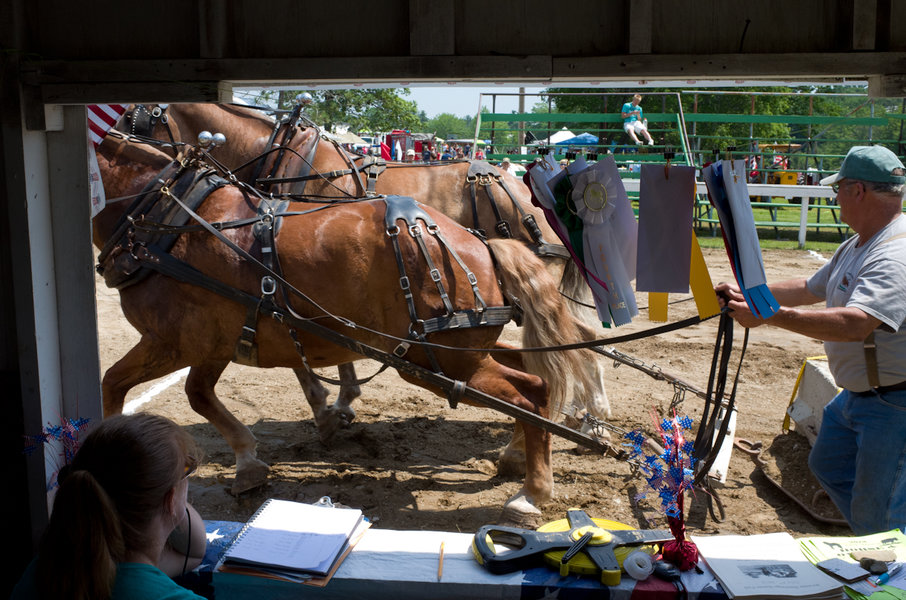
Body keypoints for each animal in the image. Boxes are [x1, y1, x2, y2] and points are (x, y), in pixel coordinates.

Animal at [93, 133, 601, 526]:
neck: (173, 223)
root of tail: (479, 243)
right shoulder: (214, 342)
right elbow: (198, 395)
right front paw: (252, 461)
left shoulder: (171, 341)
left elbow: (114, 384)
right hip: (461, 353)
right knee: (536, 377)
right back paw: (521, 459)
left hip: (440, 362)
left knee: (530, 392)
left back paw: (531, 493)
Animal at [120, 103, 611, 442]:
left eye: (130, 119)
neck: (290, 162)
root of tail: (527, 186)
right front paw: (341, 400)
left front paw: (330, 407)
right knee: (580, 336)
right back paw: (584, 414)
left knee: (576, 338)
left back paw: (589, 415)